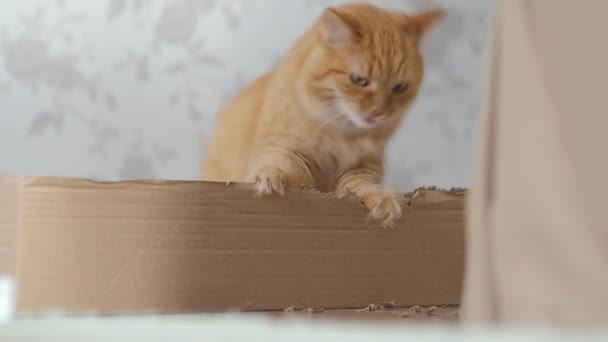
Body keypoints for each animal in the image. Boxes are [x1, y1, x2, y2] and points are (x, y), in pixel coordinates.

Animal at [202, 3, 444, 227]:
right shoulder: (283, 148)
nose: (377, 112)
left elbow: (361, 186)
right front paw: (268, 178)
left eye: (399, 88)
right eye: (359, 80)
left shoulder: (364, 167)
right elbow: (285, 166)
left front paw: (382, 200)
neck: (341, 134)